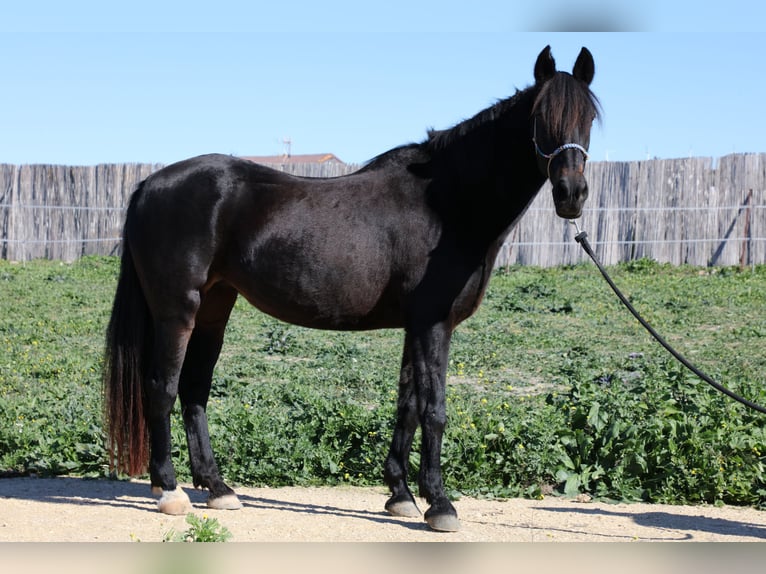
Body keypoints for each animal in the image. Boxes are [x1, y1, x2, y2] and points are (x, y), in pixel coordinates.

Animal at [105, 46, 604, 536]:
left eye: (589, 119)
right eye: (541, 118)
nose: (571, 194)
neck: (448, 203)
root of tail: (150, 184)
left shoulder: (416, 326)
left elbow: (408, 404)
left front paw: (400, 495)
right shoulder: (434, 324)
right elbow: (435, 409)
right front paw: (440, 504)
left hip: (214, 308)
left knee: (194, 390)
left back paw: (216, 487)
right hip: (177, 311)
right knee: (162, 388)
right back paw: (170, 490)